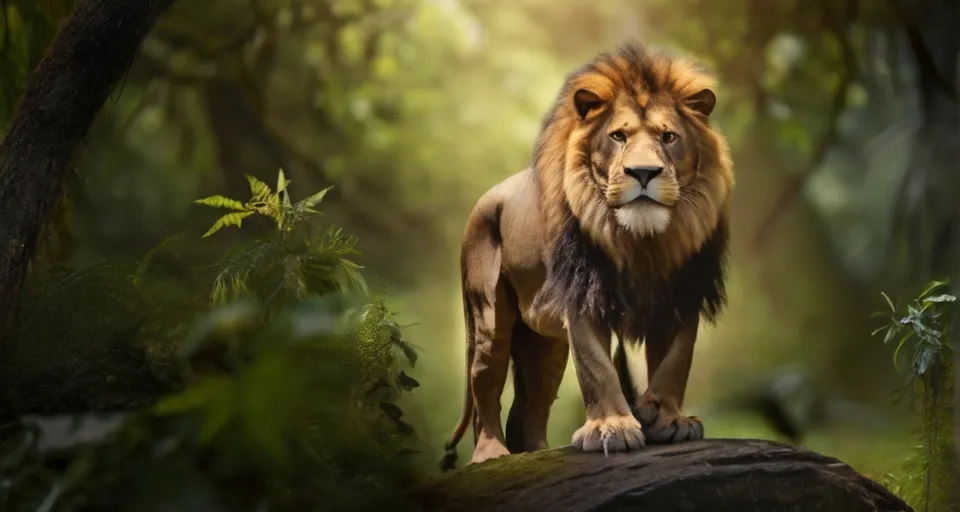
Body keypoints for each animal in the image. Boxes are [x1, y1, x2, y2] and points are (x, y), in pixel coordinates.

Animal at [440, 42, 736, 470]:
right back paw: (490, 455)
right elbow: (597, 369)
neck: (642, 241)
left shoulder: (682, 295)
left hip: (543, 344)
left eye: (668, 136)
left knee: (530, 408)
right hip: (488, 321)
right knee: (486, 392)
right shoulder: (584, 296)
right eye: (618, 136)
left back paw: (539, 454)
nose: (643, 172)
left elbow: (675, 362)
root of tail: (484, 200)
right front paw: (612, 427)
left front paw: (668, 418)